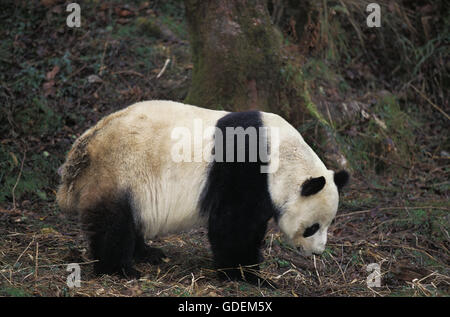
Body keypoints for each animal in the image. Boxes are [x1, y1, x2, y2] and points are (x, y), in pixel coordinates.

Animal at [56, 100, 350, 284]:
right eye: (313, 227)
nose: (318, 252)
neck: (284, 156)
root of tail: (85, 145)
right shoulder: (244, 169)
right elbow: (232, 225)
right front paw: (246, 275)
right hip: (119, 171)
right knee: (113, 223)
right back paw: (119, 269)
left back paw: (149, 253)